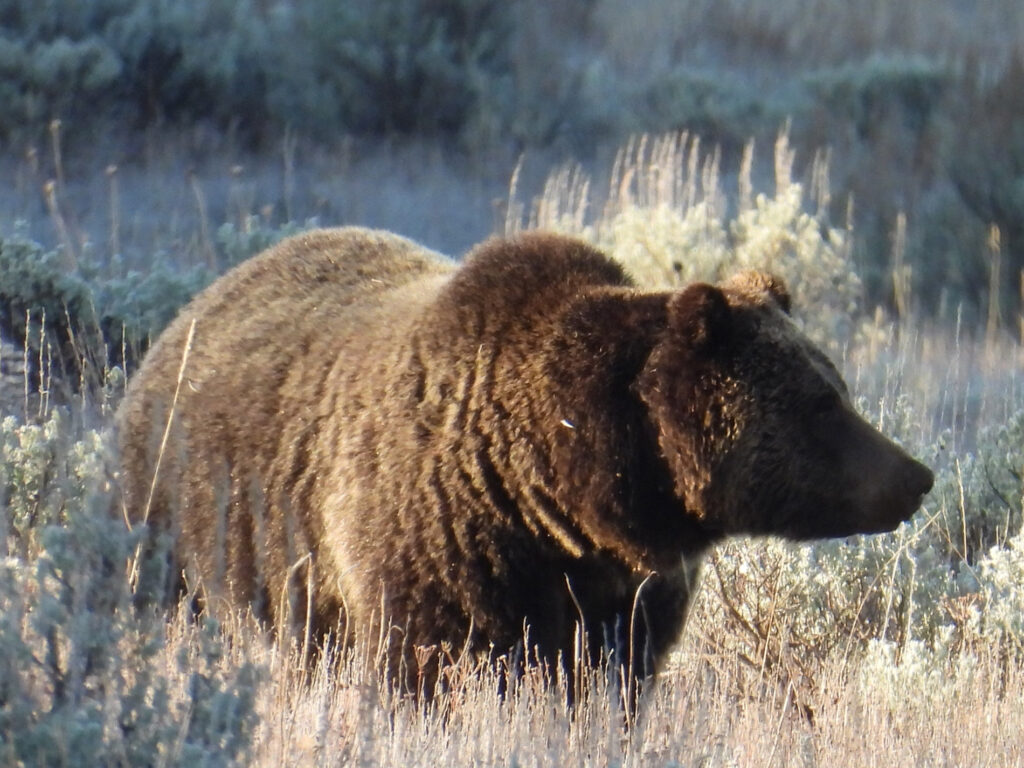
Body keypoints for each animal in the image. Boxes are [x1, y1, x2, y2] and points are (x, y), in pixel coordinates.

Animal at [116, 227, 934, 697]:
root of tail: (194, 307)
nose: (914, 477)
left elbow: (612, 677)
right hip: (177, 513)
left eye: (837, 385)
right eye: (821, 401)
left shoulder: (620, 592)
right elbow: (428, 671)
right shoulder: (435, 547)